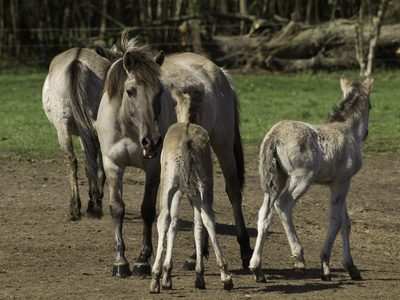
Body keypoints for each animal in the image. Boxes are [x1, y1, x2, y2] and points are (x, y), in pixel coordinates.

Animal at [42, 41, 121, 220]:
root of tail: (76, 62)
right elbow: (91, 165)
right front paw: (95, 198)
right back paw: (93, 205)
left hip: (63, 125)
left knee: (71, 159)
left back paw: (75, 207)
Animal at [150, 84, 233, 292]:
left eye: (174, 107)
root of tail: (187, 141)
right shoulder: (191, 191)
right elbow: (194, 225)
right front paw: (197, 274)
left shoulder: (177, 190)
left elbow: (172, 222)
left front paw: (166, 276)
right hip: (204, 187)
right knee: (207, 217)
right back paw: (224, 276)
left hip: (168, 185)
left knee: (163, 218)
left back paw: (154, 278)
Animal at [248, 76, 374, 282]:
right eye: (370, 106)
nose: (367, 133)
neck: (347, 130)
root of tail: (274, 136)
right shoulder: (341, 182)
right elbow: (336, 220)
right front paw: (325, 265)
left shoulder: (341, 183)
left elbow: (345, 222)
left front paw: (352, 267)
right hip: (302, 178)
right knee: (283, 204)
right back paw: (299, 259)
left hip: (276, 179)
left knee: (264, 213)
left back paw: (257, 268)